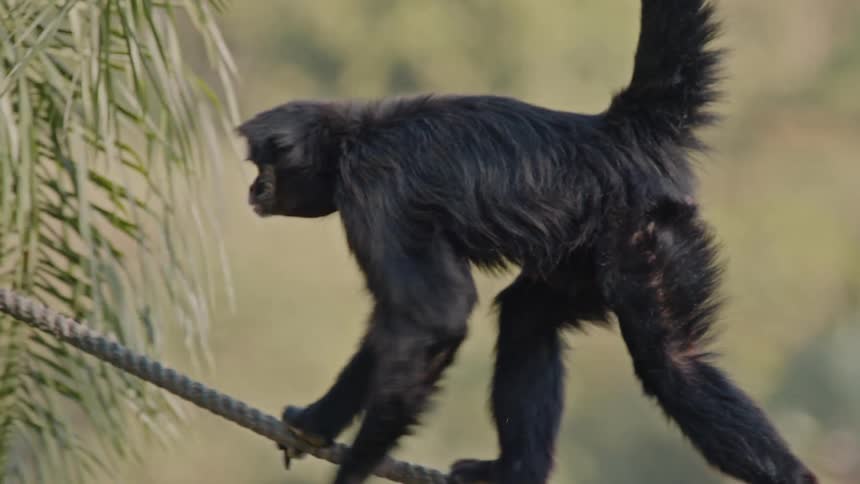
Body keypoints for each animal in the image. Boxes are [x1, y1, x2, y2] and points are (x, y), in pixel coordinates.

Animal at [236, 1, 818, 483]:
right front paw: (315, 422)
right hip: (585, 254)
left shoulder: (374, 191)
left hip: (646, 234)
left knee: (674, 365)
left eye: (265, 165)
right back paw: (516, 471)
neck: (355, 135)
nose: (252, 189)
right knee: (525, 317)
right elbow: (400, 322)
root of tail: (618, 131)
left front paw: (351, 470)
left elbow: (432, 316)